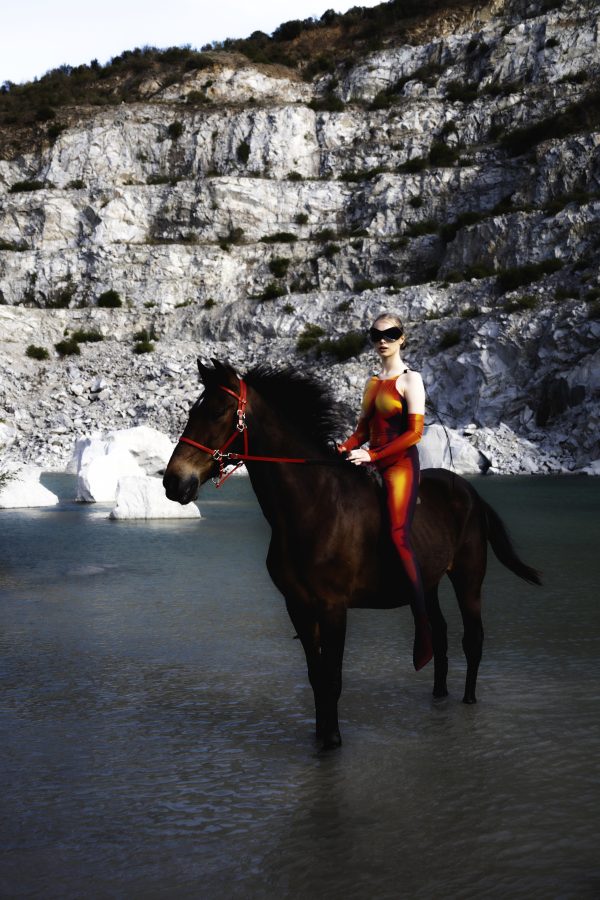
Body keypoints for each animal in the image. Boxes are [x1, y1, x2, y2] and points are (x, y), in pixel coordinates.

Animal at [163, 359, 541, 751]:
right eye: (191, 412)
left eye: (217, 411)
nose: (174, 482)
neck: (313, 506)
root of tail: (470, 492)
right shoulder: (298, 607)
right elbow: (316, 676)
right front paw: (320, 734)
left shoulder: (333, 608)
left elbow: (332, 677)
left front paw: (332, 740)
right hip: (429, 584)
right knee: (438, 633)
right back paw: (439, 694)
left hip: (468, 577)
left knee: (473, 638)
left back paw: (468, 698)